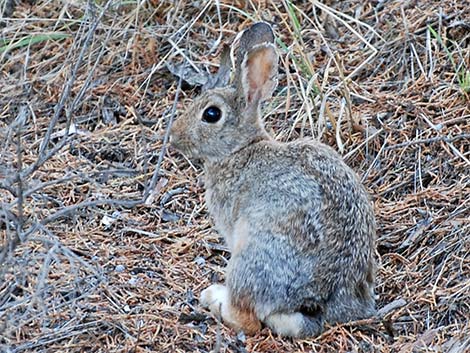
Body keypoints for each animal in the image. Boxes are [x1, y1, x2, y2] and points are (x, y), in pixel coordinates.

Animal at [171, 22, 376, 336]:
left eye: (211, 114)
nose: (173, 137)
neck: (240, 149)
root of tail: (319, 299)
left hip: (249, 256)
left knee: (248, 319)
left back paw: (214, 298)